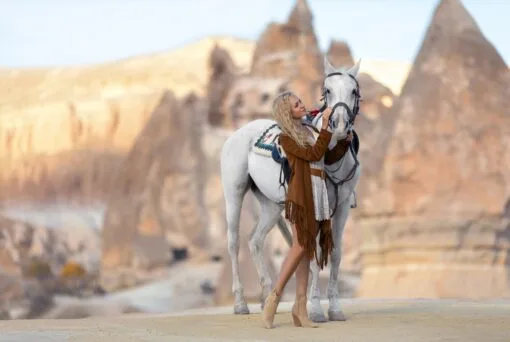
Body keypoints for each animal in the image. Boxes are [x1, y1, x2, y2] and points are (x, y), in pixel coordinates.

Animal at [221, 57, 360, 322]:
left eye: (354, 91)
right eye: (327, 90)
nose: (338, 125)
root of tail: (238, 134)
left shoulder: (343, 206)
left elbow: (335, 253)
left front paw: (335, 308)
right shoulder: (317, 206)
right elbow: (315, 252)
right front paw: (315, 309)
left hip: (271, 205)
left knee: (255, 240)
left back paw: (266, 298)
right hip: (234, 193)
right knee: (233, 242)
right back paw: (240, 303)